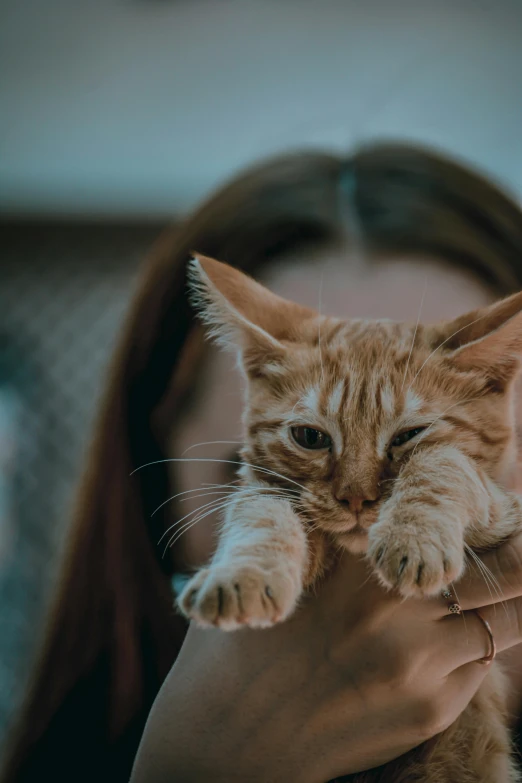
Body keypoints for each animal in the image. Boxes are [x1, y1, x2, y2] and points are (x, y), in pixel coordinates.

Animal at [178, 254, 520, 780]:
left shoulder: (503, 508)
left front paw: (411, 538)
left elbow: (442, 463)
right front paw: (242, 577)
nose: (356, 500)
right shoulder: (264, 488)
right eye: (310, 437)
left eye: (408, 436)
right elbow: (260, 515)